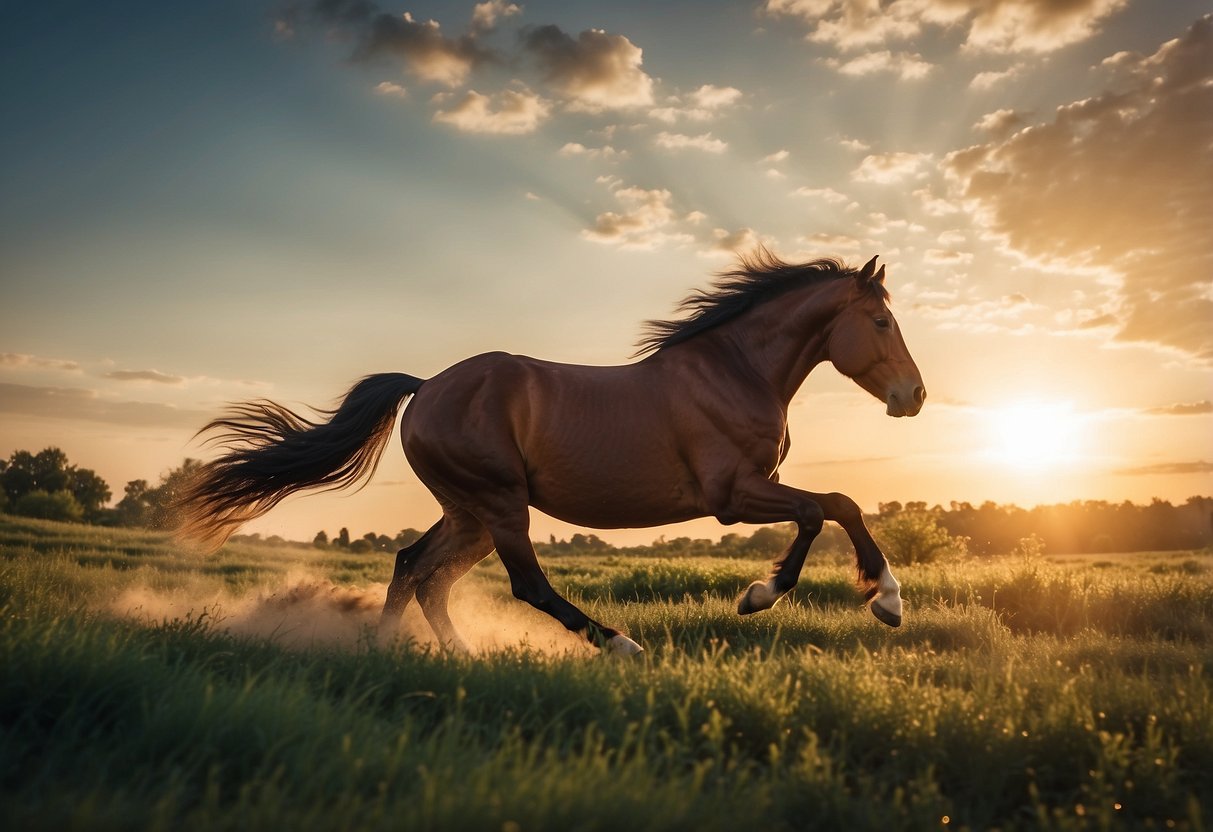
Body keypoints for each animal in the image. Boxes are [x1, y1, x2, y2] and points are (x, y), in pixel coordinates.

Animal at [173, 251, 926, 654]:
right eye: (880, 321)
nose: (913, 396)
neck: (733, 370)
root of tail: (426, 387)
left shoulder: (752, 489)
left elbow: (827, 510)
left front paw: (838, 598)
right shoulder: (732, 495)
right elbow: (833, 505)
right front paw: (848, 598)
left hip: (470, 514)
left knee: (416, 568)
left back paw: (418, 654)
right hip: (501, 505)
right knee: (519, 584)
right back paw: (619, 644)